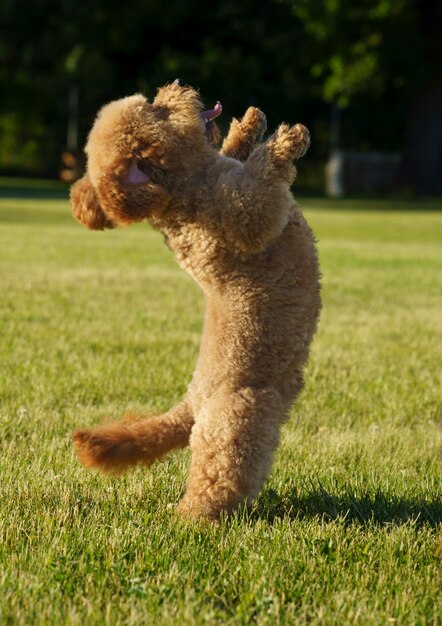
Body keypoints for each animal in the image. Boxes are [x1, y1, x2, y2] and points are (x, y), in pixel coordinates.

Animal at [71, 81, 322, 520]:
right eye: (157, 111)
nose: (173, 87)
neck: (184, 186)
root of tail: (192, 403)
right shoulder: (239, 212)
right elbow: (260, 196)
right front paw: (287, 140)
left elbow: (235, 152)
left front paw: (249, 124)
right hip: (239, 416)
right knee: (217, 471)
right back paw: (193, 515)